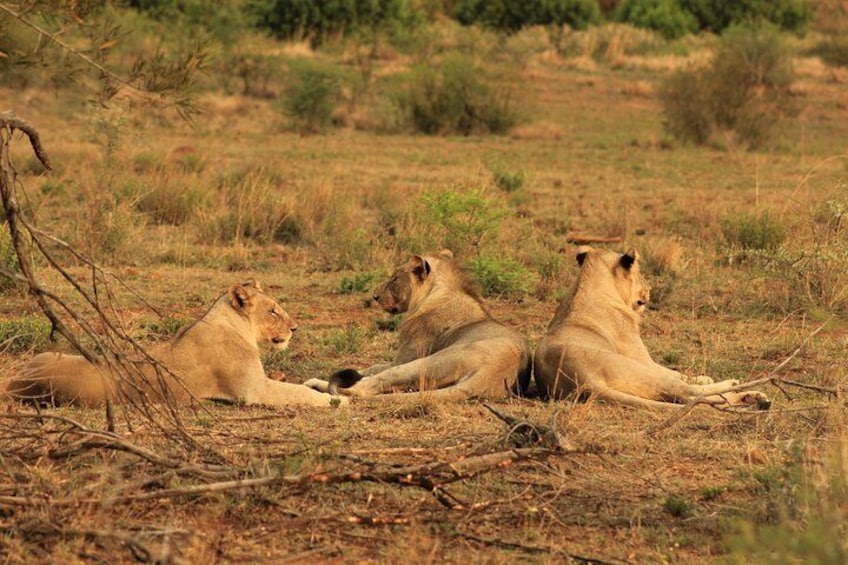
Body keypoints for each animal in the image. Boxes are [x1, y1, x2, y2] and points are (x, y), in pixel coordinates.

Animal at [4, 280, 348, 408]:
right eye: (273, 309)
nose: (294, 328)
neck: (234, 324)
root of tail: (16, 383)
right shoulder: (254, 391)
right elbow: (299, 393)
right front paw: (336, 400)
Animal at [304, 249, 528, 398]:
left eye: (395, 278)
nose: (375, 296)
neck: (436, 293)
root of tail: (495, 372)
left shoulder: (403, 357)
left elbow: (374, 367)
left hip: (428, 362)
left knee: (364, 388)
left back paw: (319, 383)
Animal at [532, 247, 772, 410]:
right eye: (640, 273)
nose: (649, 289)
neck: (586, 285)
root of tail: (585, 383)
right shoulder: (643, 359)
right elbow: (678, 373)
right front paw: (706, 378)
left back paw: (753, 399)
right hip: (637, 369)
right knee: (687, 393)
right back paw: (752, 394)